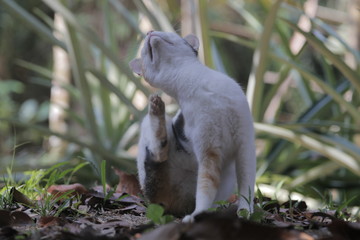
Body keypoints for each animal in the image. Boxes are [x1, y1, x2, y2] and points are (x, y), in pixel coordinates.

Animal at [130, 31, 256, 222]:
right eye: (145, 49)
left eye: (168, 32)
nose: (149, 32)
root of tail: (167, 204)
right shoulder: (209, 150)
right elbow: (205, 187)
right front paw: (198, 214)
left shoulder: (245, 142)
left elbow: (246, 182)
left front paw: (245, 211)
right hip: (152, 133)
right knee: (157, 153)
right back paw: (156, 109)